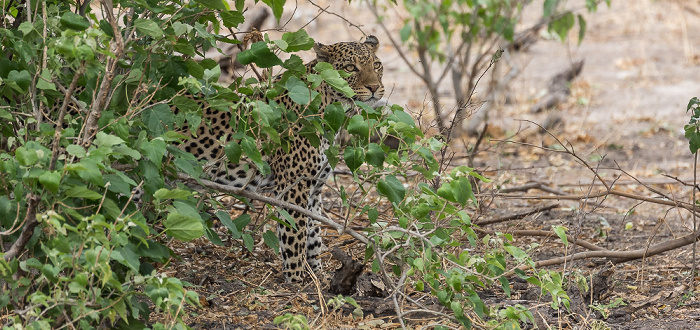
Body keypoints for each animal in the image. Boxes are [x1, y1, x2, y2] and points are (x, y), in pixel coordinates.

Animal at [179, 36, 382, 284]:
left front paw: (317, 274)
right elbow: (294, 234)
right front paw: (296, 279)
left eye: (377, 65)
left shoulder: (314, 187)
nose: (374, 88)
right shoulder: (293, 187)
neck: (331, 109)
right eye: (351, 68)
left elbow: (313, 232)